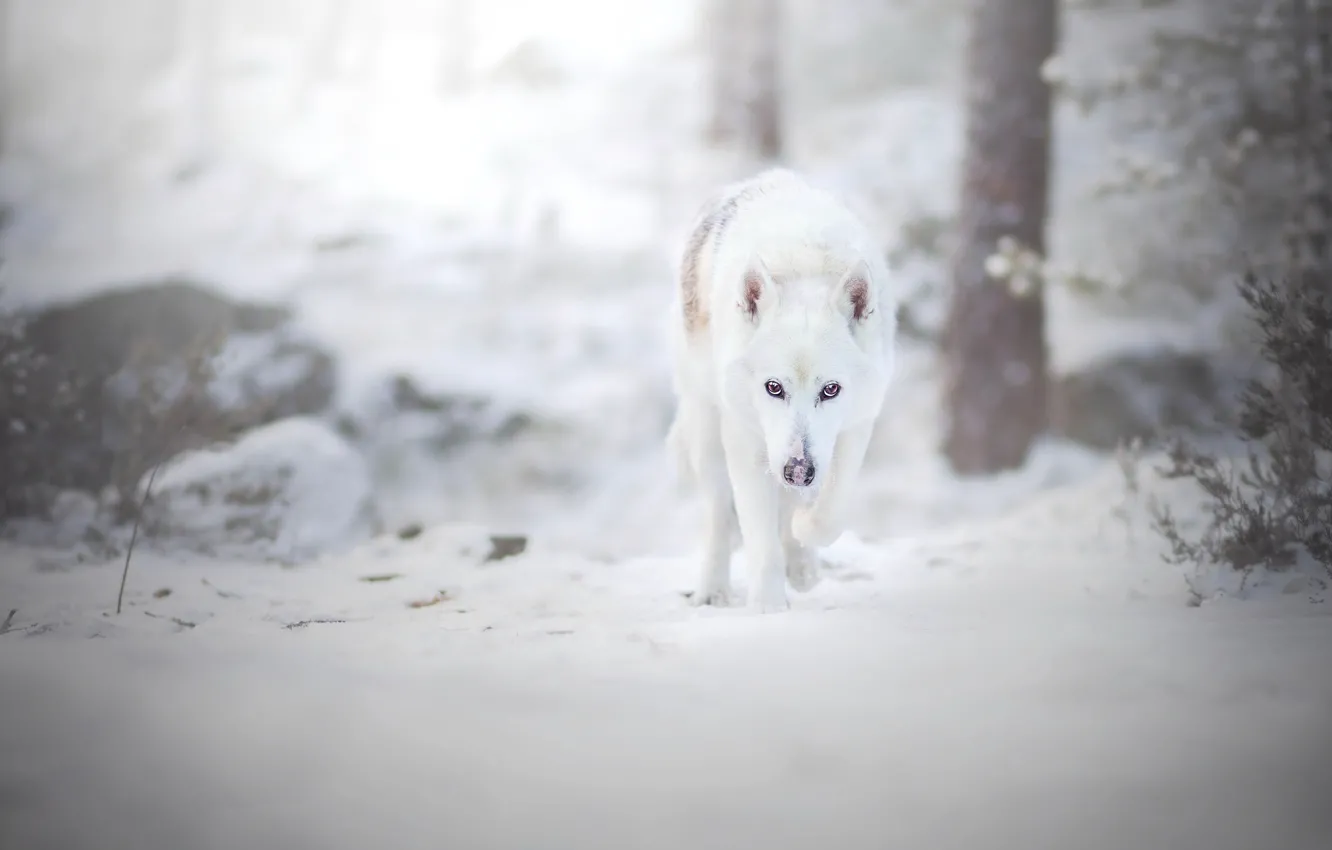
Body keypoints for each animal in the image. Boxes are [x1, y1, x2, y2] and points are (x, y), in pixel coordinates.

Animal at [666, 169, 895, 615]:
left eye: (830, 390)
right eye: (773, 388)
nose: (799, 469)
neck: (804, 267)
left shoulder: (856, 427)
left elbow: (829, 512)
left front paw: (804, 537)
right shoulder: (745, 442)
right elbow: (759, 539)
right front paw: (767, 610)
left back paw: (801, 562)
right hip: (708, 431)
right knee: (719, 514)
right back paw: (713, 590)